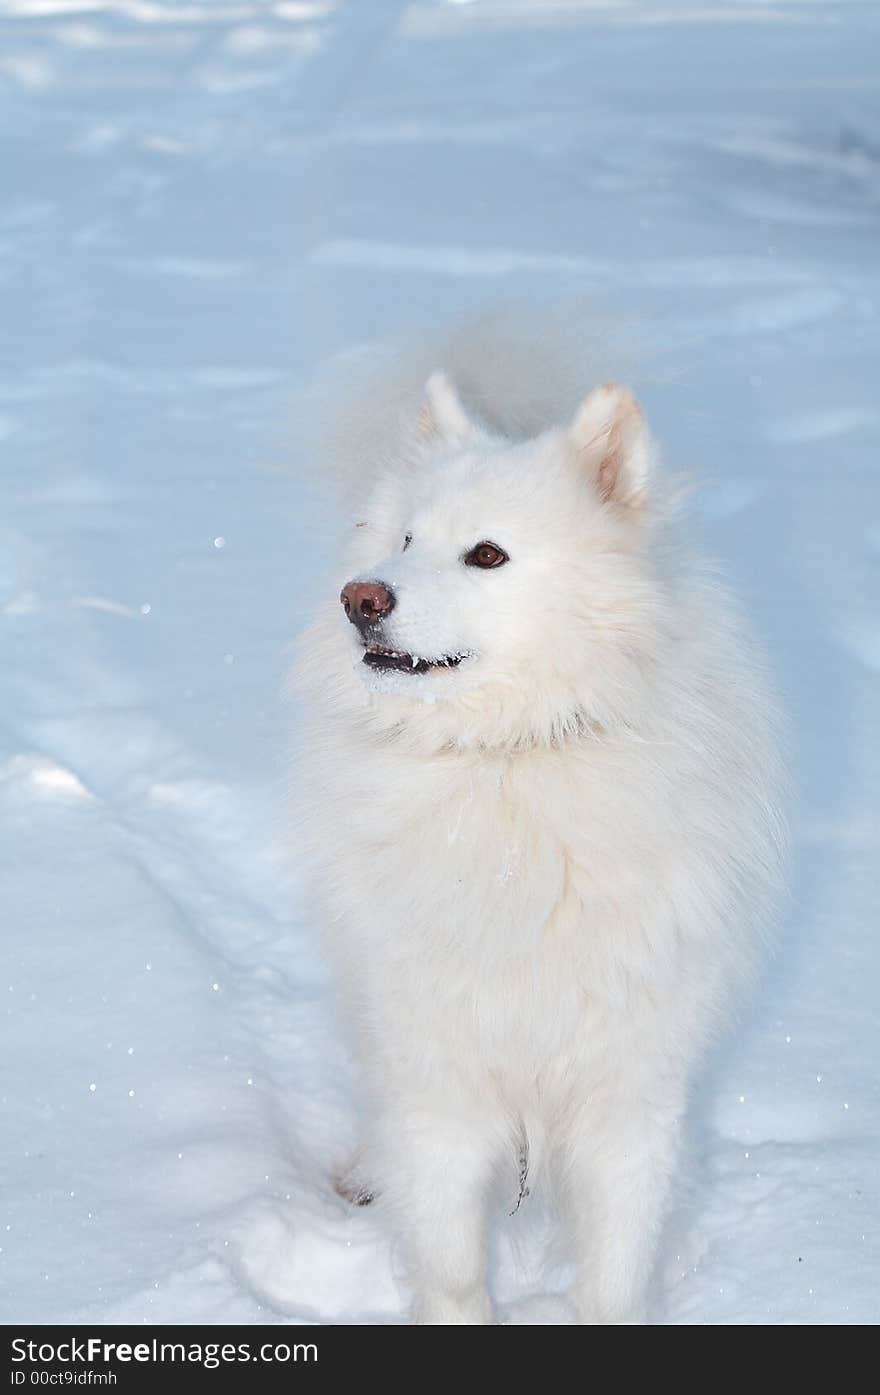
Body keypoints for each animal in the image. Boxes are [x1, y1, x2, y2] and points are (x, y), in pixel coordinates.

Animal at [292, 316, 786, 1328]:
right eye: (406, 539)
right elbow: (451, 1270)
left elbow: (613, 1274)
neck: (513, 760)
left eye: (487, 554)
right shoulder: (441, 1076)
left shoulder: (626, 1089)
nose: (360, 598)